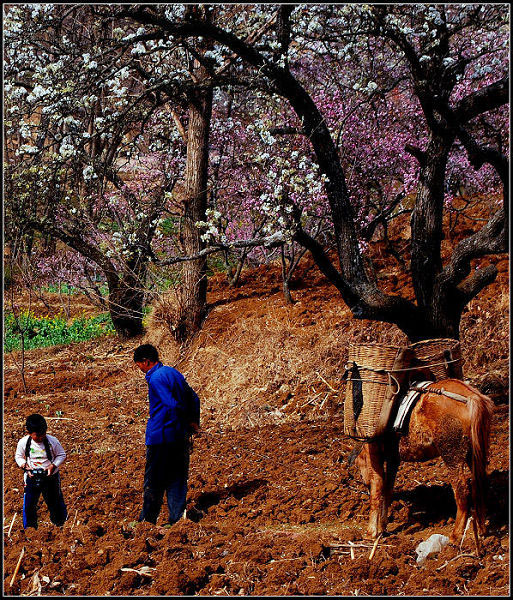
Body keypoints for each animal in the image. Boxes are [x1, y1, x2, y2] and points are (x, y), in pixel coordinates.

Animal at [354, 380, 494, 544]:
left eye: (359, 464)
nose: (364, 482)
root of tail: (473, 397)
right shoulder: (393, 459)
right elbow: (388, 489)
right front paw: (382, 526)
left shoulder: (375, 455)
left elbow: (377, 488)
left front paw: (372, 532)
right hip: (475, 454)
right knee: (480, 485)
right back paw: (482, 529)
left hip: (452, 456)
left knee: (462, 491)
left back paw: (455, 535)